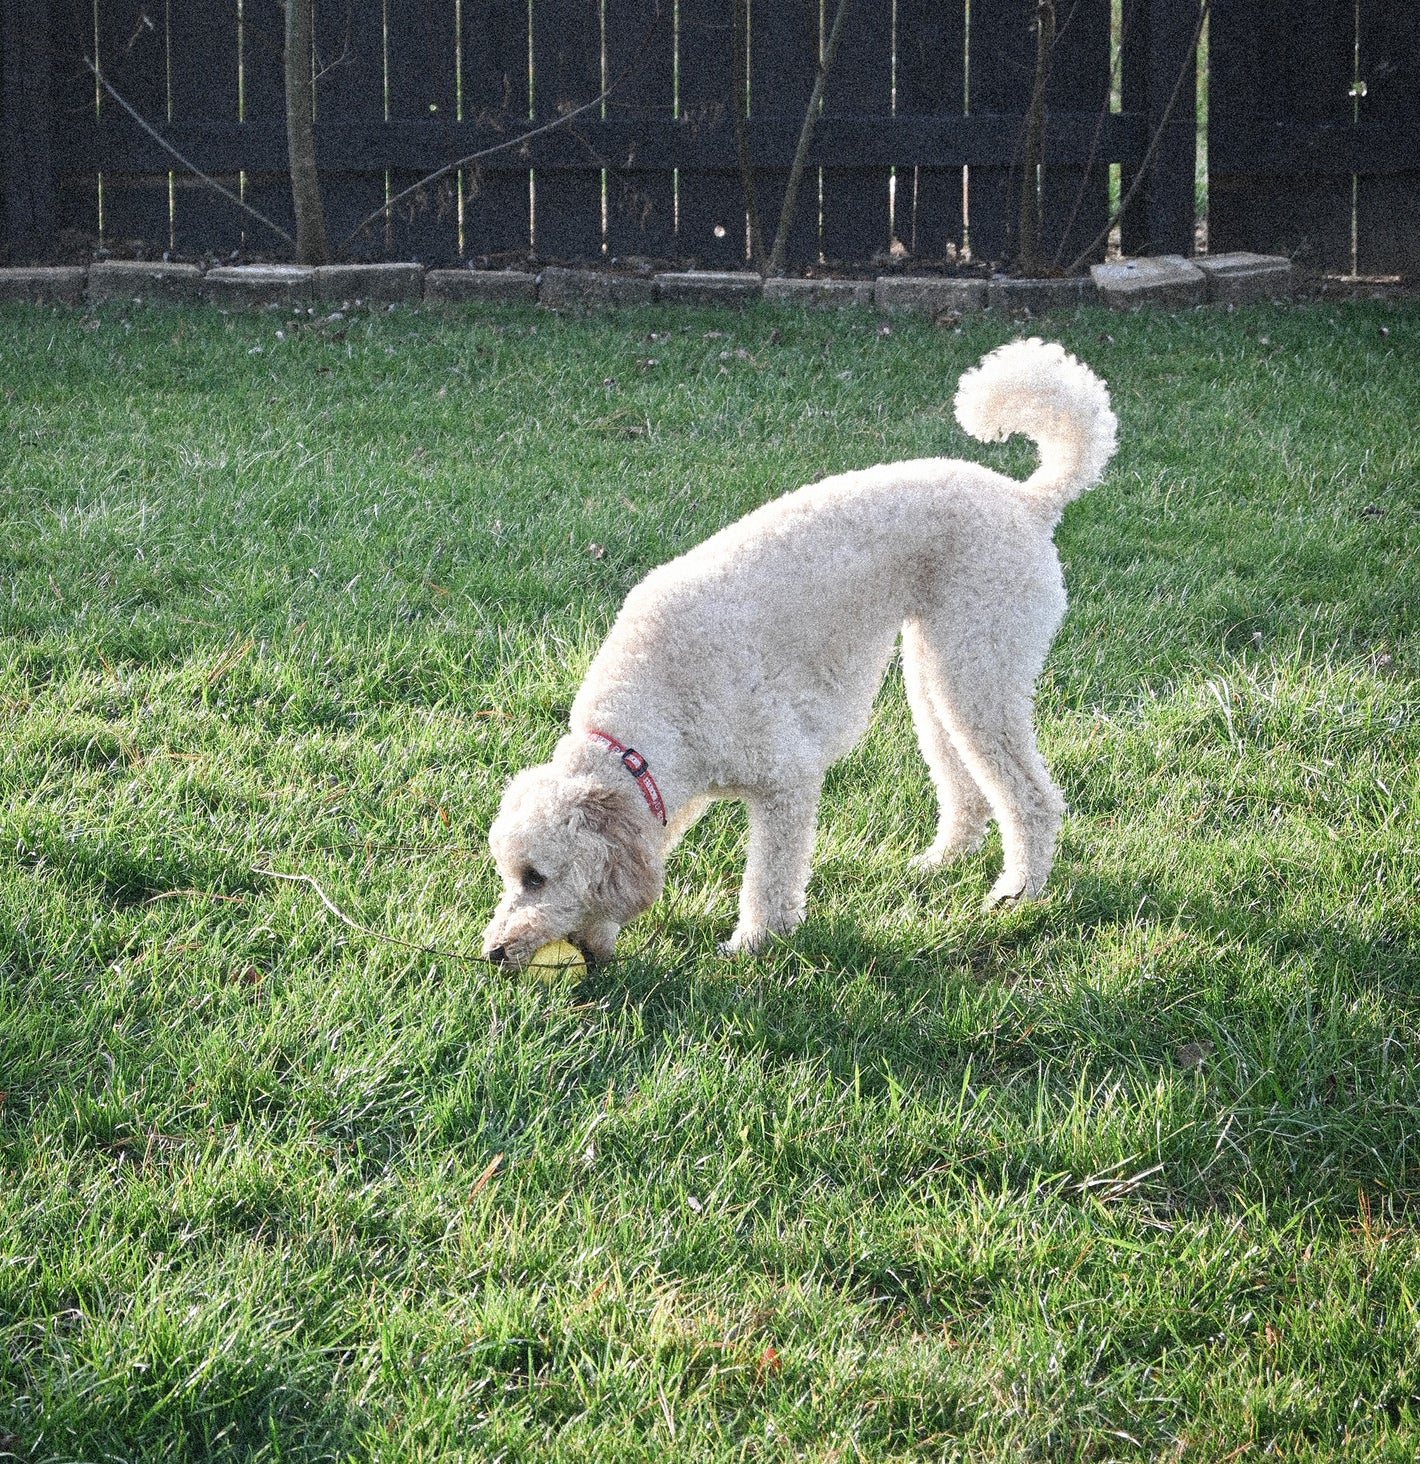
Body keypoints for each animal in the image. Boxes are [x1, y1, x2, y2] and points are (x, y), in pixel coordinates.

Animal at [480, 336, 1112, 966]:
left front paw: (754, 943)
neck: (651, 721)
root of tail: (1029, 500)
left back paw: (1019, 891)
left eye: (535, 877)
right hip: (936, 666)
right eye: (509, 876)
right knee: (966, 786)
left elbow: (770, 877)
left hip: (981, 664)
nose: (494, 953)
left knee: (1031, 797)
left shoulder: (785, 778)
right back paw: (941, 862)